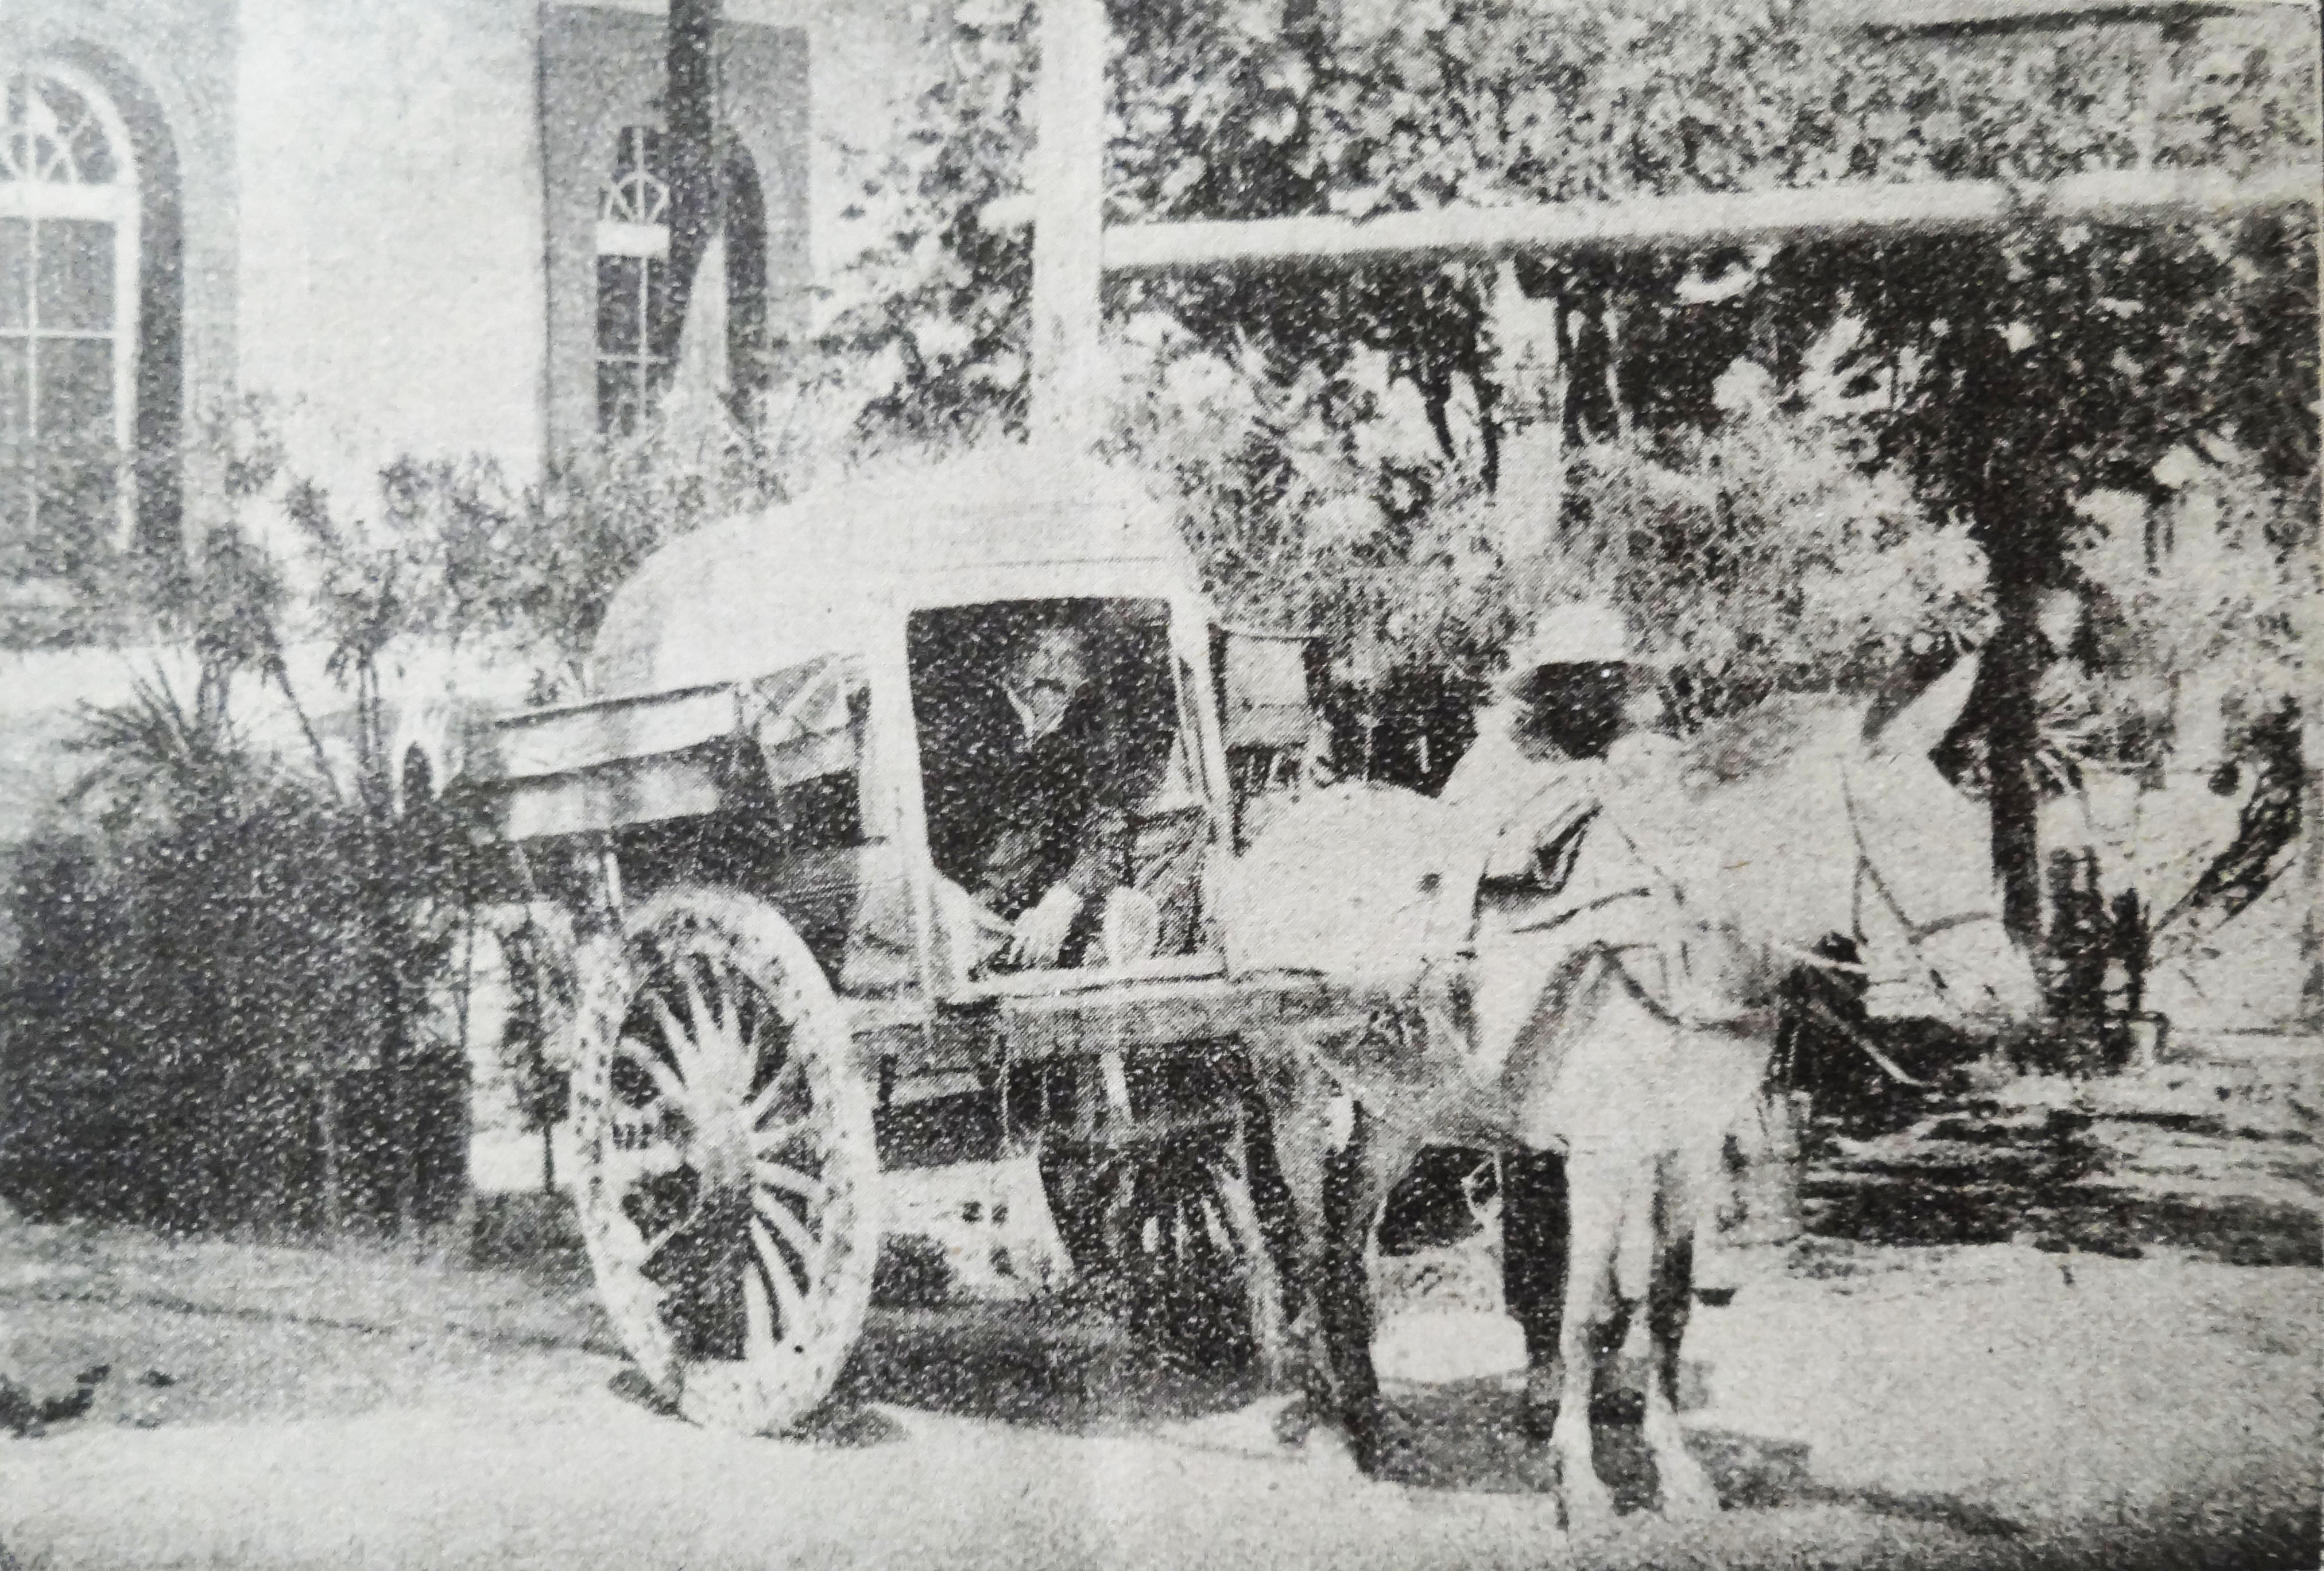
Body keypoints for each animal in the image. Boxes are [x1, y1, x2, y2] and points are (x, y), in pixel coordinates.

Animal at [1222, 656, 2044, 1530]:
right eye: (1904, 833)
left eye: (1971, 829)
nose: (2014, 995)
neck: (1671, 938)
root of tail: (1282, 832)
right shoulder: (1601, 1156)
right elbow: (1582, 1312)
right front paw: (1580, 1482)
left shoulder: (1688, 1148)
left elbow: (1667, 1306)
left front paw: (1679, 1473)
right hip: (1291, 1086)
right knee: (1309, 1246)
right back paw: (1330, 1434)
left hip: (1400, 1107)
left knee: (1347, 1242)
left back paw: (1369, 1415)